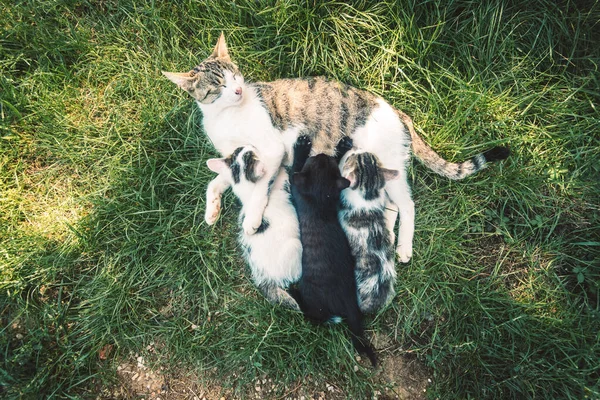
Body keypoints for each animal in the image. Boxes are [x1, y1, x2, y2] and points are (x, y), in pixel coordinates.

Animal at [162, 33, 508, 262]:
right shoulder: (233, 155)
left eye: (235, 75)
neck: (226, 117)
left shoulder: (272, 150)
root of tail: (398, 111)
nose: (237, 89)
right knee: (392, 205)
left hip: (385, 161)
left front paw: (252, 218)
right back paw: (387, 234)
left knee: (408, 205)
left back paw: (403, 248)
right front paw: (212, 209)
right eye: (218, 87)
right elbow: (217, 179)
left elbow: (258, 189)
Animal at [206, 145, 302, 310]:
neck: (248, 192)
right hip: (296, 247)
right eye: (251, 154)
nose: (252, 145)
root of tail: (267, 280)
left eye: (243, 149)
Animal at [288, 136, 378, 368]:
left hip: (312, 297)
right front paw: (343, 147)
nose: (320, 153)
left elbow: (293, 168)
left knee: (311, 315)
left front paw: (301, 146)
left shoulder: (295, 185)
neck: (320, 200)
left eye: (315, 159)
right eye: (322, 160)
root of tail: (349, 305)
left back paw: (293, 293)